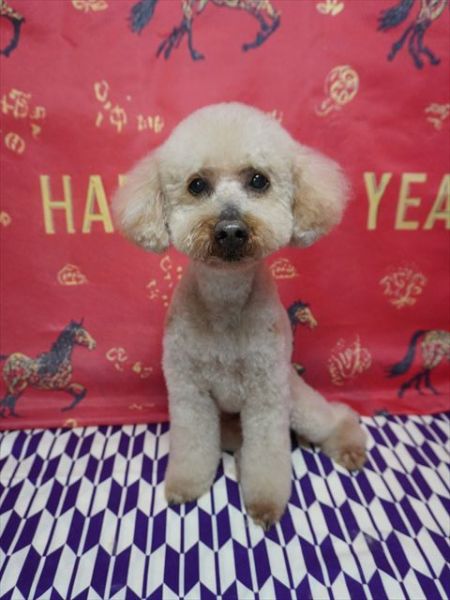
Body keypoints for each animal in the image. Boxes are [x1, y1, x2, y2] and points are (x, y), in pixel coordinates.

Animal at [113, 102, 367, 529]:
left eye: (258, 180)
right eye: (197, 185)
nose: (230, 230)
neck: (225, 303)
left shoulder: (266, 394)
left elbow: (267, 452)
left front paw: (264, 503)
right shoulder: (189, 391)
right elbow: (193, 443)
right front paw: (186, 486)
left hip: (294, 398)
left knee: (334, 416)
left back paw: (349, 445)